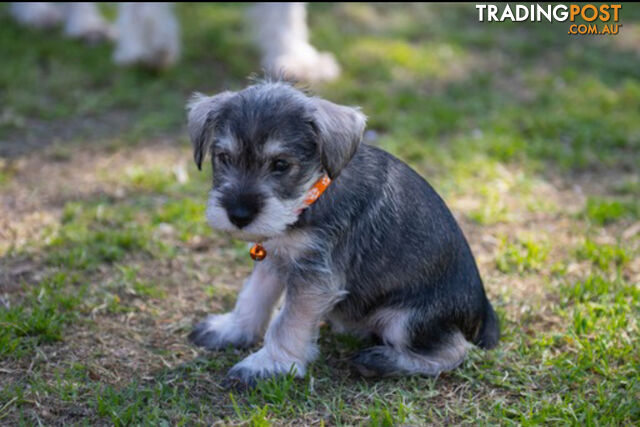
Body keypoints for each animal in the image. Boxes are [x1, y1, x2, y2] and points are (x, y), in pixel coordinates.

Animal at [185, 79, 500, 384]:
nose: (238, 215)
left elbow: (288, 322)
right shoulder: (276, 256)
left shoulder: (315, 277)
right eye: (224, 157)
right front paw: (231, 328)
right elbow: (254, 295)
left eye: (281, 164)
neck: (311, 196)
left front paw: (268, 365)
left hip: (407, 319)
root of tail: (485, 314)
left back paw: (379, 361)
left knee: (454, 350)